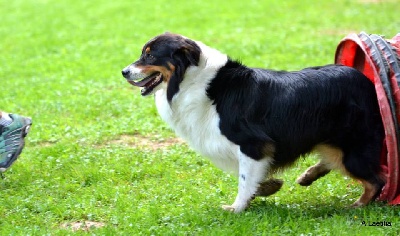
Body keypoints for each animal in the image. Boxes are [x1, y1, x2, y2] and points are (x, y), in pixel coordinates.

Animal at [121, 32, 384, 212]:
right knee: (335, 161)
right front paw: (269, 187)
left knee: (375, 181)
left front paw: (237, 208)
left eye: (150, 55)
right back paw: (308, 176)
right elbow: (253, 178)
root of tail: (365, 82)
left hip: (353, 148)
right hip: (331, 141)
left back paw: (357, 206)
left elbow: (245, 180)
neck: (192, 79)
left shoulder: (254, 144)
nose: (124, 71)